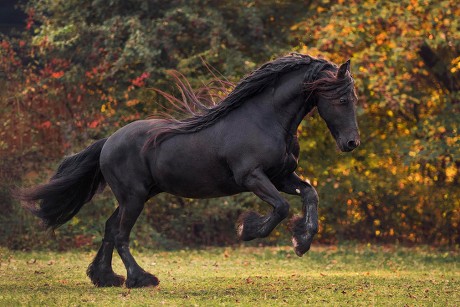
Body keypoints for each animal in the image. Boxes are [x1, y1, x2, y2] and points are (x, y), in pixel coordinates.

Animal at [18, 54, 360, 288]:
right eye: (343, 98)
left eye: (354, 97)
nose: (351, 143)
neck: (267, 119)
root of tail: (107, 142)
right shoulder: (252, 177)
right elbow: (281, 207)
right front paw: (247, 230)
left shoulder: (281, 176)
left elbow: (310, 194)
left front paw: (302, 241)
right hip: (134, 197)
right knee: (120, 234)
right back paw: (141, 279)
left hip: (137, 196)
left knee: (109, 228)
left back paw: (105, 278)